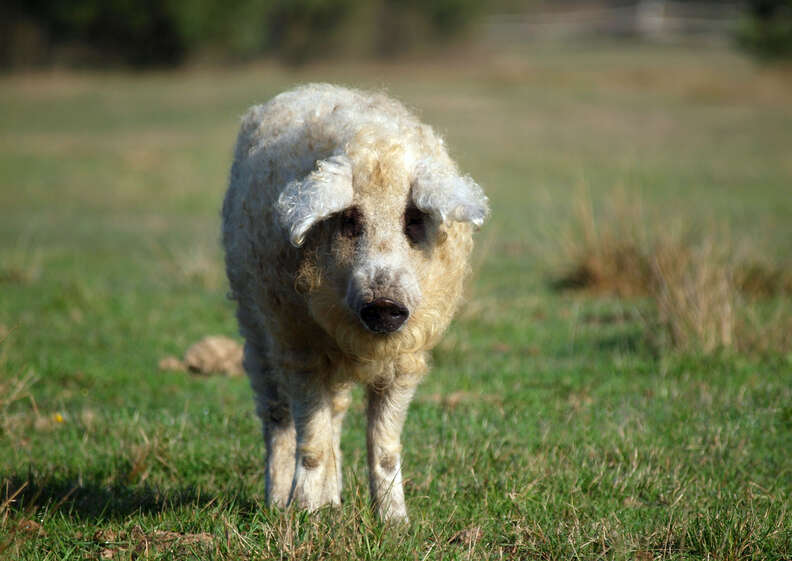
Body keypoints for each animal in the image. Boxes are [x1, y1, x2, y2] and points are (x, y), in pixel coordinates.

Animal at [221, 83, 488, 521]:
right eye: (349, 219)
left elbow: (385, 447)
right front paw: (304, 517)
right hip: (254, 325)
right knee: (277, 417)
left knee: (337, 412)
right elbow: (310, 442)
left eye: (413, 219)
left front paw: (396, 523)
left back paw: (334, 500)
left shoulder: (406, 360)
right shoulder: (301, 349)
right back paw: (281, 503)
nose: (384, 303)